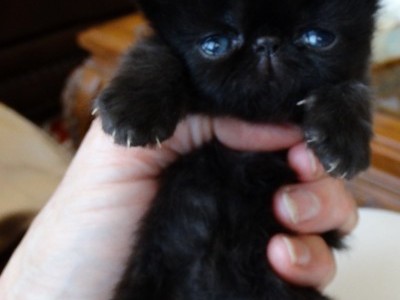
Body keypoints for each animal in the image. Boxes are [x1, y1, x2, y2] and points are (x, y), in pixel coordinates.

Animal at [97, 1, 378, 298]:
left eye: (318, 38)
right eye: (214, 45)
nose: (267, 43)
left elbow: (355, 87)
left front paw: (344, 135)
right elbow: (153, 50)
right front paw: (134, 105)